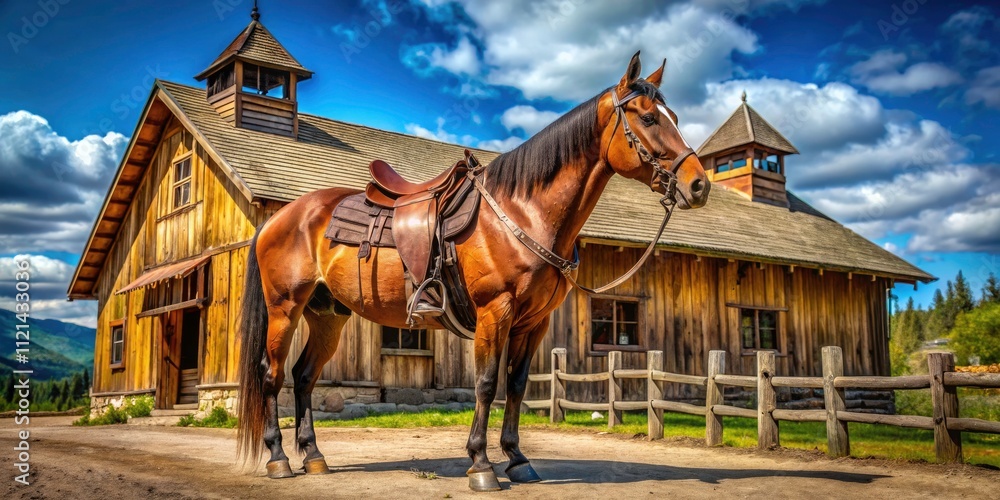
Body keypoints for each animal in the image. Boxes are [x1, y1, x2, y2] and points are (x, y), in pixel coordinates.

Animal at [236, 52, 710, 491]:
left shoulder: (533, 323)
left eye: (675, 117)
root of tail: (282, 218)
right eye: (648, 117)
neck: (523, 212)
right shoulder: (494, 312)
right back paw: (278, 458)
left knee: (303, 377)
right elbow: (485, 383)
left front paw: (517, 459)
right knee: (271, 375)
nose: (699, 185)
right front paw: (481, 464)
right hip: (284, 308)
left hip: (327, 315)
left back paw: (314, 457)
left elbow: (516, 384)